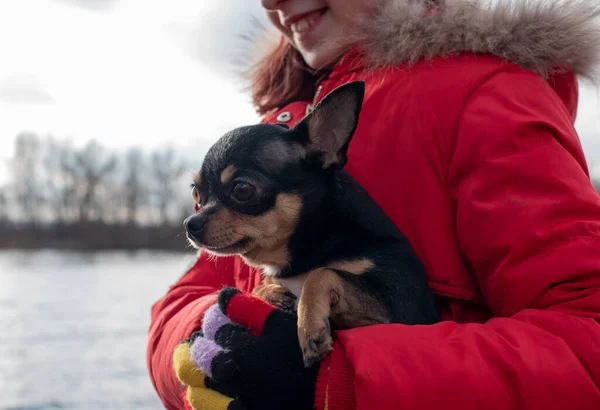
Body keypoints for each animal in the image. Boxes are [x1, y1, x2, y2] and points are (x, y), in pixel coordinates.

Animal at [186, 81, 440, 366]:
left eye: (242, 189)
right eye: (196, 194)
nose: (190, 224)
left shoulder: (401, 307)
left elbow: (322, 273)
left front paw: (308, 326)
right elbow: (263, 285)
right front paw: (273, 293)